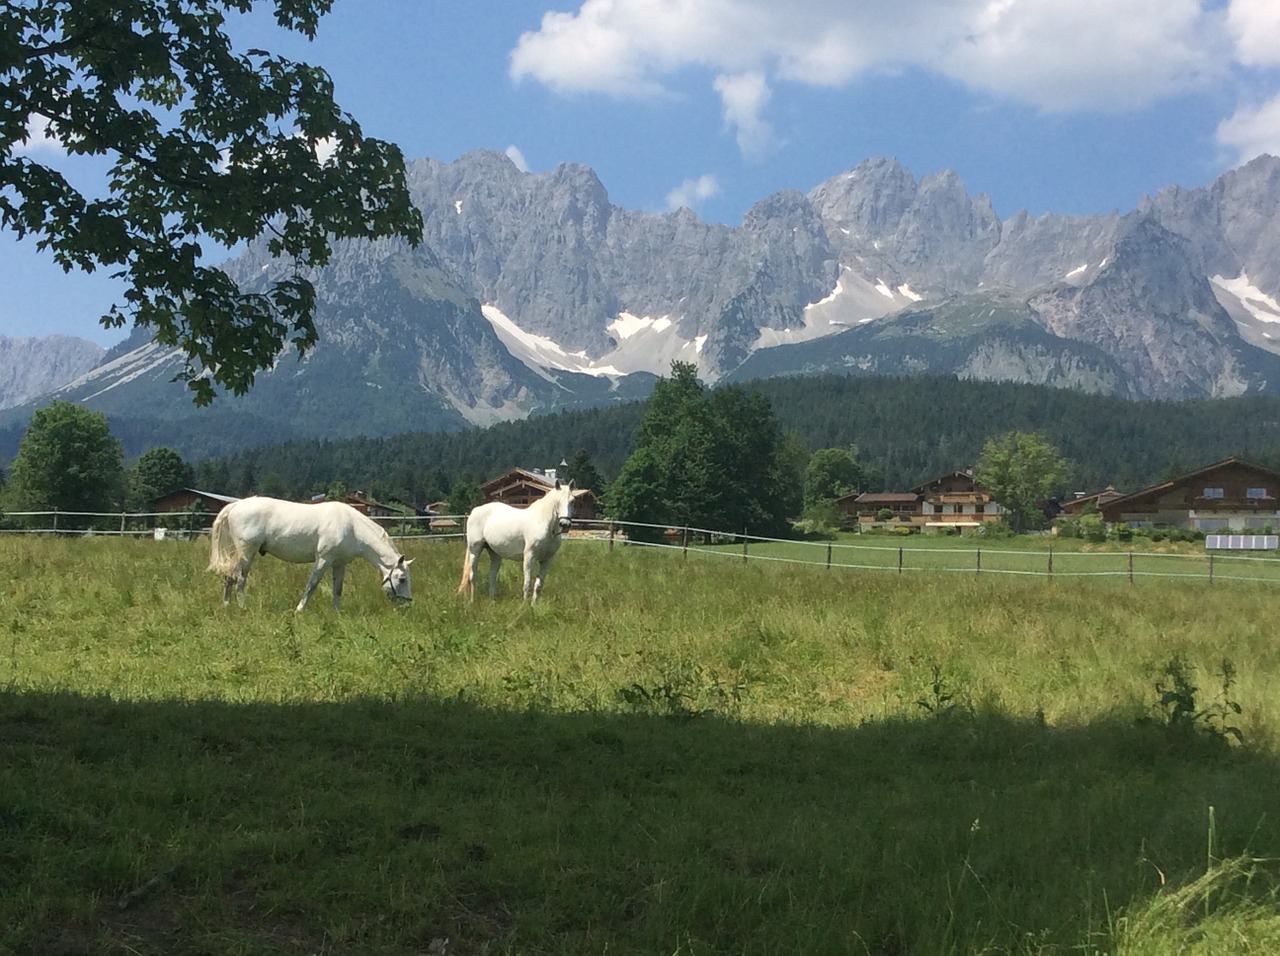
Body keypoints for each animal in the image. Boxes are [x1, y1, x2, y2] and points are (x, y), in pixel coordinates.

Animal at [207, 493, 412, 614]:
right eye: (402, 579)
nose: (407, 604)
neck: (352, 527)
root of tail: (235, 506)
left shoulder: (340, 563)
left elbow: (338, 589)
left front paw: (336, 614)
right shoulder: (323, 559)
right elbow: (312, 585)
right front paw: (299, 611)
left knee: (229, 577)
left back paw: (227, 606)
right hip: (247, 553)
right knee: (240, 579)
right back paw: (242, 608)